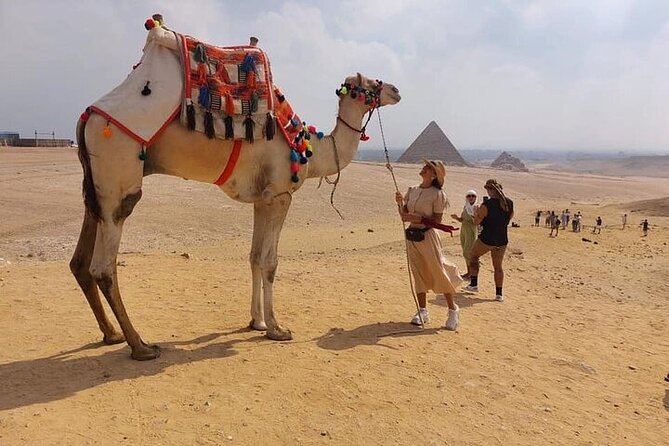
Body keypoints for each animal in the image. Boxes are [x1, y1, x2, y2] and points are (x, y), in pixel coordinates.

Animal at [70, 30, 401, 360]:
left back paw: (111, 334)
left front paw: (256, 322)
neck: (306, 147)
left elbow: (253, 257)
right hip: (119, 173)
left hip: (96, 187)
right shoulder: (280, 195)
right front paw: (276, 328)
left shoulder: (261, 199)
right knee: (104, 265)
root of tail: (87, 117)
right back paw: (140, 346)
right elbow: (270, 262)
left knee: (81, 259)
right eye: (371, 83)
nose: (396, 90)